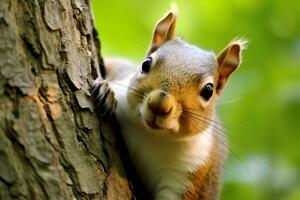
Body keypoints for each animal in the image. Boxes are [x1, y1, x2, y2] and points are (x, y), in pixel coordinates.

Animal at [91, 6, 246, 200]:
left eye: (208, 91)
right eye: (145, 64)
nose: (159, 104)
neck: (153, 136)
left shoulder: (191, 174)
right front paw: (106, 93)